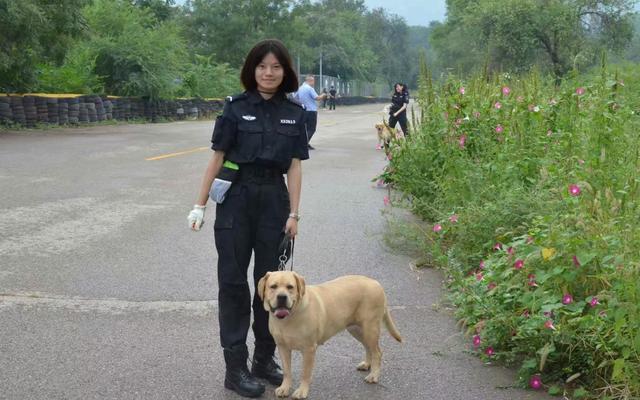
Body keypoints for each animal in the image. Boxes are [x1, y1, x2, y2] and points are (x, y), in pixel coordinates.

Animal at [258, 270, 402, 398]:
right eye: (273, 286)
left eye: (290, 287)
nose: (282, 297)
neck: (288, 318)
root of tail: (375, 282)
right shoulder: (283, 347)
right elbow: (287, 371)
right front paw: (284, 388)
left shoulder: (309, 349)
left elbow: (305, 373)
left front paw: (302, 391)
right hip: (356, 329)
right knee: (368, 347)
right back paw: (367, 365)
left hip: (370, 328)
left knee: (377, 352)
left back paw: (374, 375)